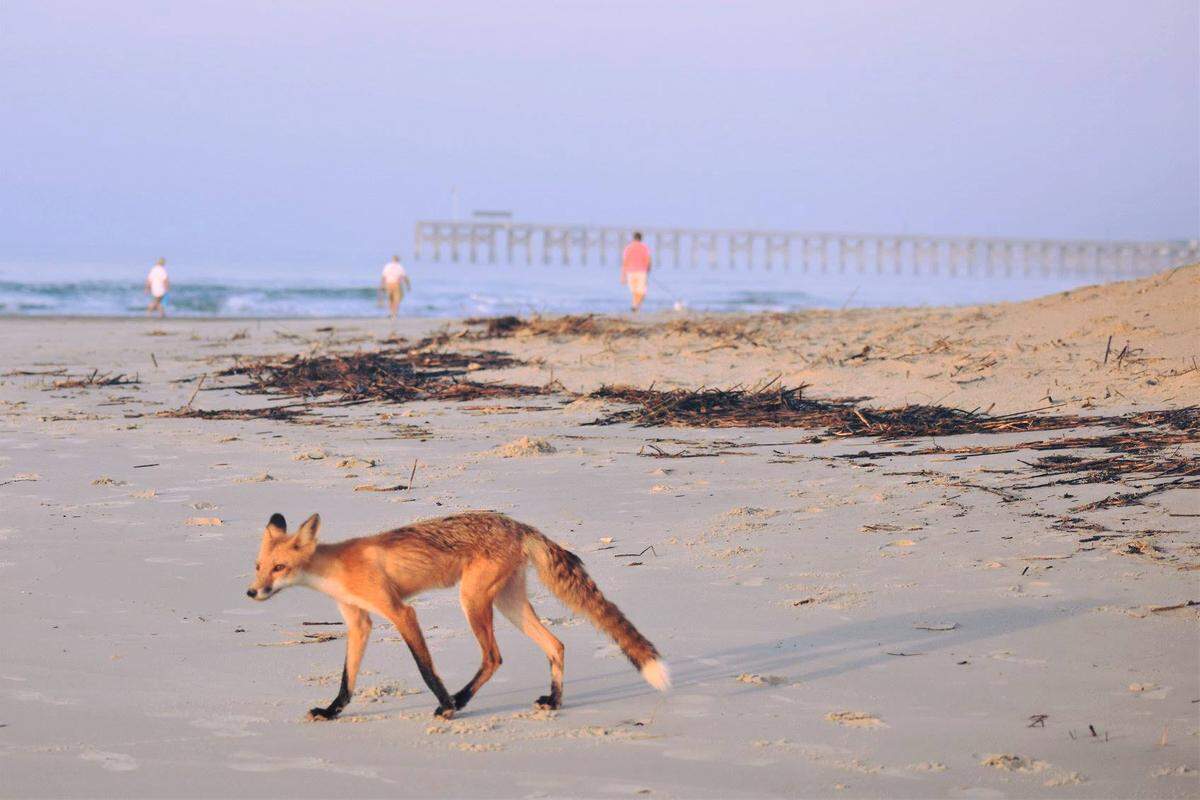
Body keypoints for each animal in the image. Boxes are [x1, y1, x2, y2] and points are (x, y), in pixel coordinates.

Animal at [246, 511, 669, 720]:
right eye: (258, 566)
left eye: (280, 568)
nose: (252, 592)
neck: (337, 568)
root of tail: (519, 525)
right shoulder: (359, 622)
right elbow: (347, 680)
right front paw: (331, 711)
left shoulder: (401, 612)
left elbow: (425, 669)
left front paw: (447, 704)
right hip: (509, 605)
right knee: (556, 644)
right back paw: (554, 701)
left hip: (473, 601)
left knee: (494, 657)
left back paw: (460, 702)